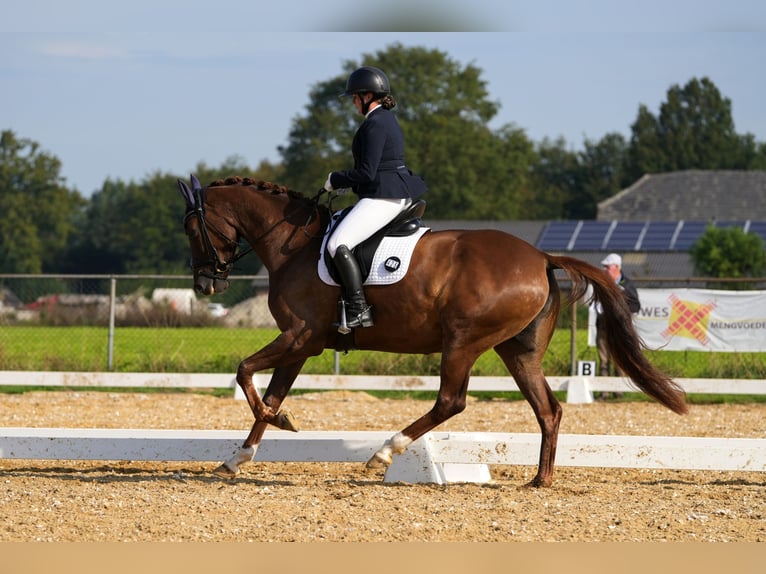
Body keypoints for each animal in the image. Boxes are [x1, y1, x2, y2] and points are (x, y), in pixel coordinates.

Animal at [180, 177, 688, 490]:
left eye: (191, 228)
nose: (206, 285)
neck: (294, 245)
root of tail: (542, 257)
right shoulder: (302, 344)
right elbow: (270, 391)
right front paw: (240, 455)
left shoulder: (301, 337)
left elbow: (245, 371)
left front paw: (278, 422)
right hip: (517, 351)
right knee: (549, 409)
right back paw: (539, 479)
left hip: (462, 341)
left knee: (452, 401)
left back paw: (386, 453)